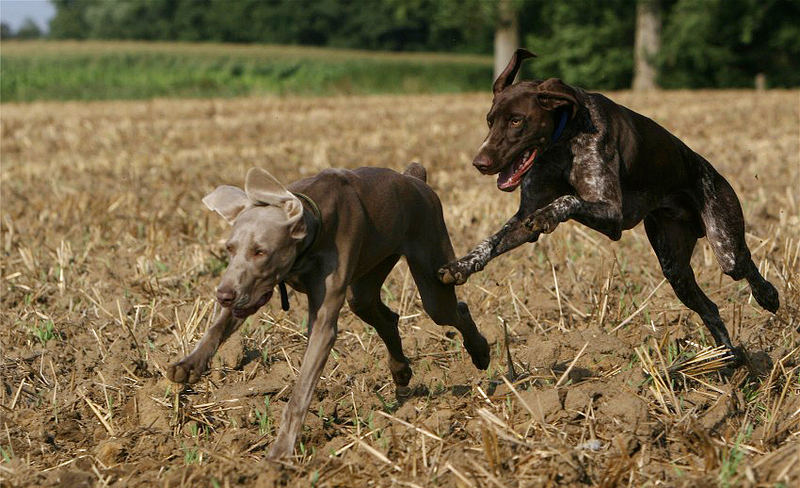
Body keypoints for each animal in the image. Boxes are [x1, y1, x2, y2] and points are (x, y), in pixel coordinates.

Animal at [168, 164, 490, 458]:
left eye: (261, 252)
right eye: (230, 248)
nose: (222, 295)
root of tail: (413, 177)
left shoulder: (321, 324)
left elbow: (300, 393)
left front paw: (281, 452)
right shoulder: (248, 290)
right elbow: (217, 327)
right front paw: (189, 365)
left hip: (434, 276)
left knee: (455, 309)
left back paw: (480, 352)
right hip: (366, 284)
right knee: (385, 316)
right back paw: (401, 372)